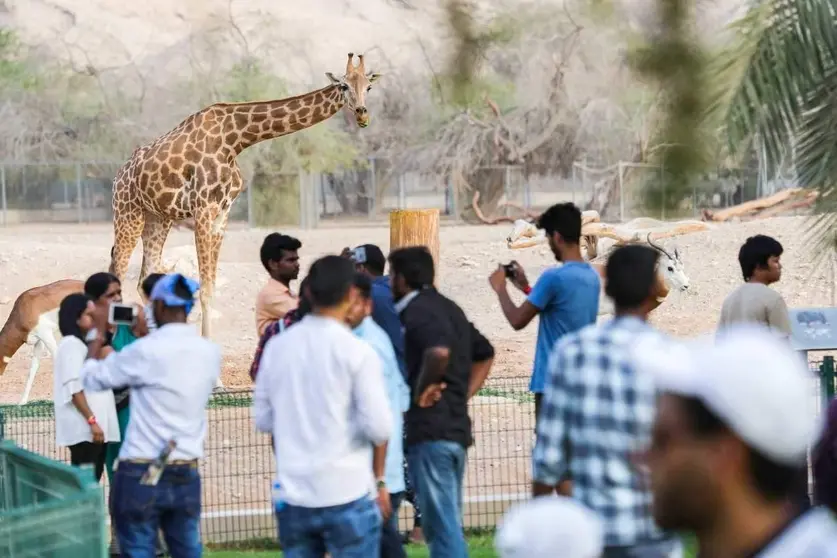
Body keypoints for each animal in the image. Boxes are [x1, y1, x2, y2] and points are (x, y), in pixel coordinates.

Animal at [108, 52, 382, 340]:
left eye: (368, 87)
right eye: (344, 86)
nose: (362, 114)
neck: (234, 140)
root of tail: (118, 176)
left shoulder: (221, 214)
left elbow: (211, 287)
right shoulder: (203, 209)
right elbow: (204, 289)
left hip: (158, 219)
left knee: (144, 278)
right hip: (128, 214)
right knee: (118, 273)